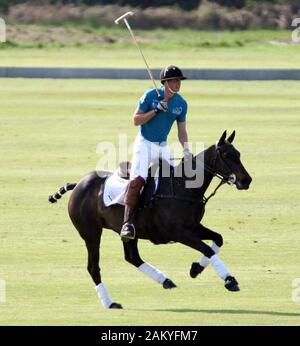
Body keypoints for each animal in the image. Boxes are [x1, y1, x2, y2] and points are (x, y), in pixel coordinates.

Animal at [48, 131, 251, 310]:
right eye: (226, 155)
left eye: (239, 154)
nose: (246, 180)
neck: (184, 187)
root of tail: (78, 184)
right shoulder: (178, 232)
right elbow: (207, 248)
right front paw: (229, 280)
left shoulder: (193, 227)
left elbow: (218, 239)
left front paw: (196, 269)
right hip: (91, 232)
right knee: (93, 267)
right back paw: (110, 303)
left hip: (128, 231)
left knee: (132, 257)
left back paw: (165, 280)